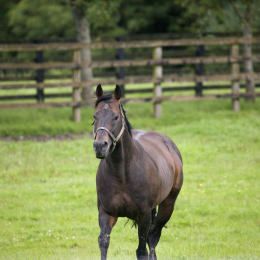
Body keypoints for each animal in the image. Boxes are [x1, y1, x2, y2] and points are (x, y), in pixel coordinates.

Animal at [93, 84, 183, 258]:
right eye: (95, 116)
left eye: (116, 117)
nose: (100, 146)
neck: (122, 175)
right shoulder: (106, 212)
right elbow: (103, 242)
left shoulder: (144, 215)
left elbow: (141, 250)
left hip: (167, 205)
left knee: (153, 238)